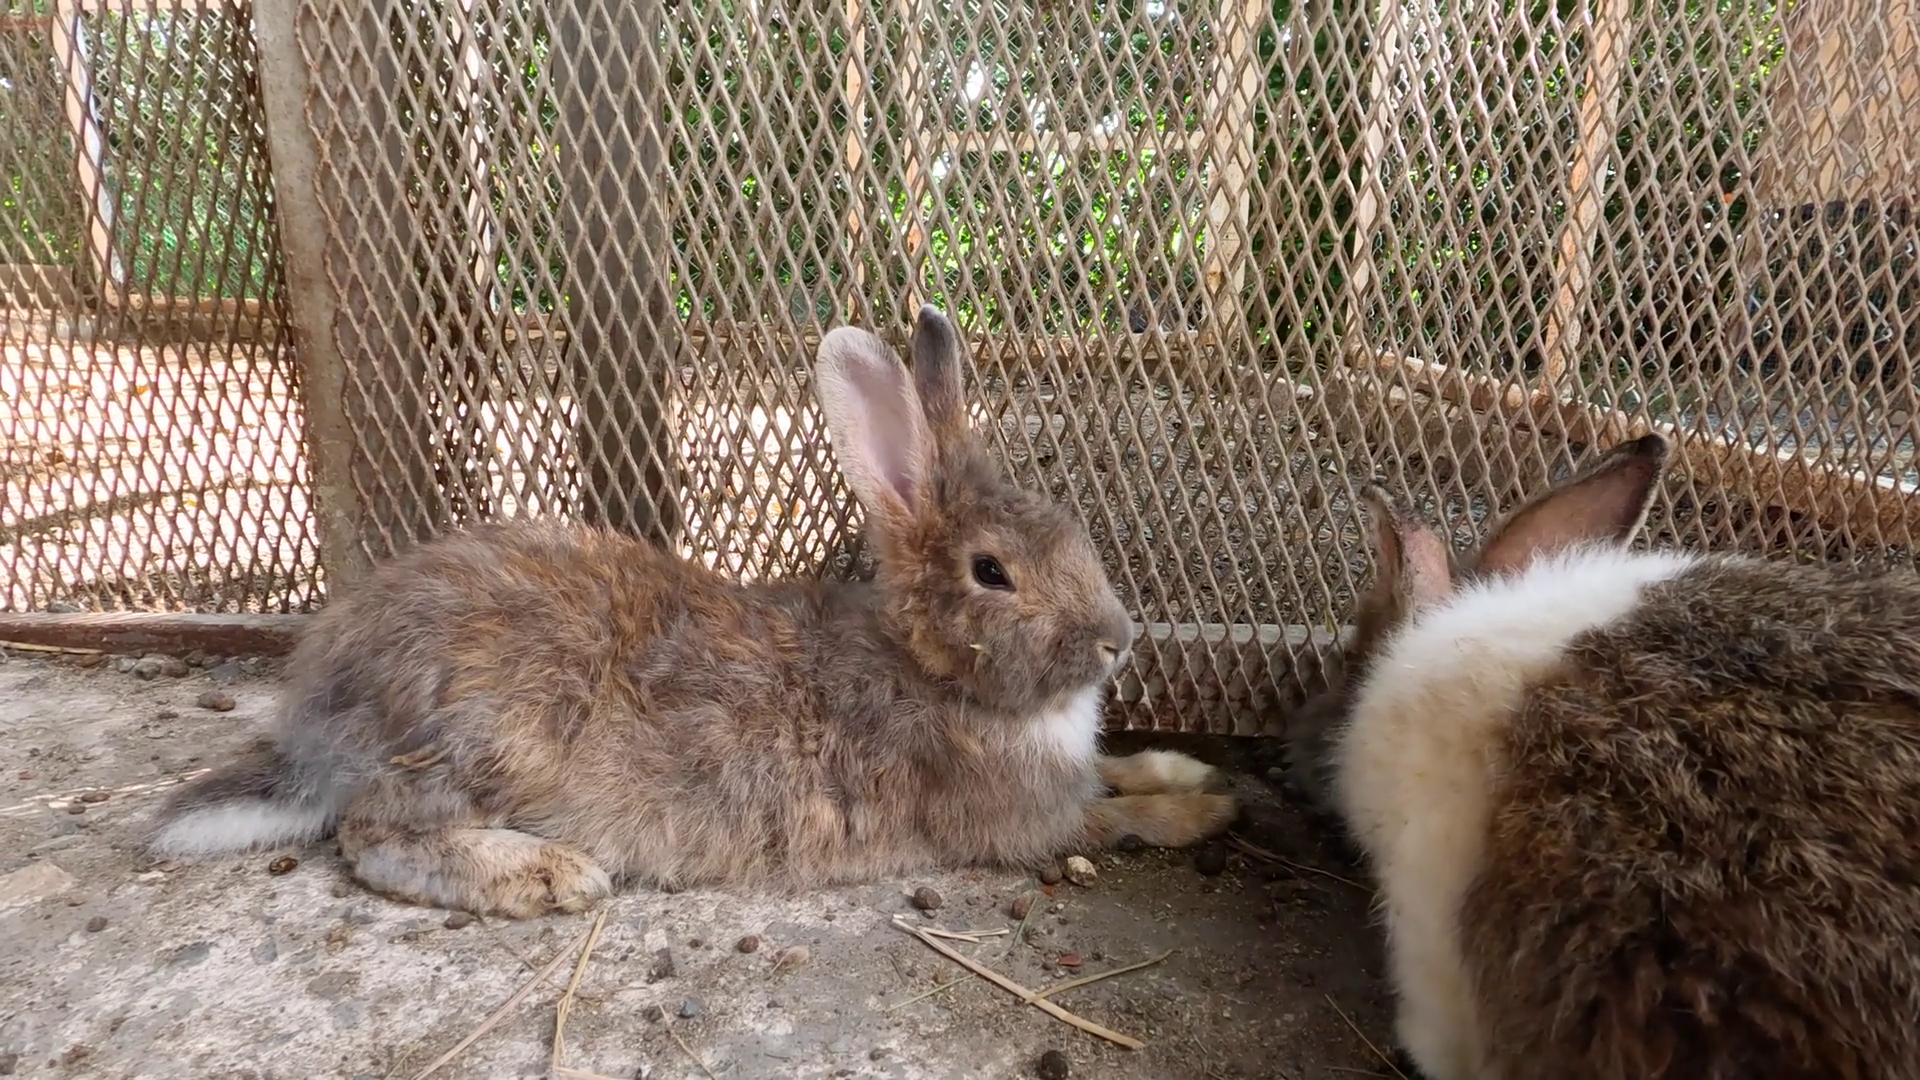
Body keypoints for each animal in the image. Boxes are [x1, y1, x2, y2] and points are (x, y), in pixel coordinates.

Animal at [145, 305, 1237, 917]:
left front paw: (1186, 767)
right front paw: (1209, 807)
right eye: (991, 572)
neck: (929, 664)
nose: (1118, 641)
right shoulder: (1021, 817)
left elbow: (1119, 770)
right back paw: (545, 876)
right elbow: (1110, 820)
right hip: (493, 729)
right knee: (377, 832)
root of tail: (321, 722)